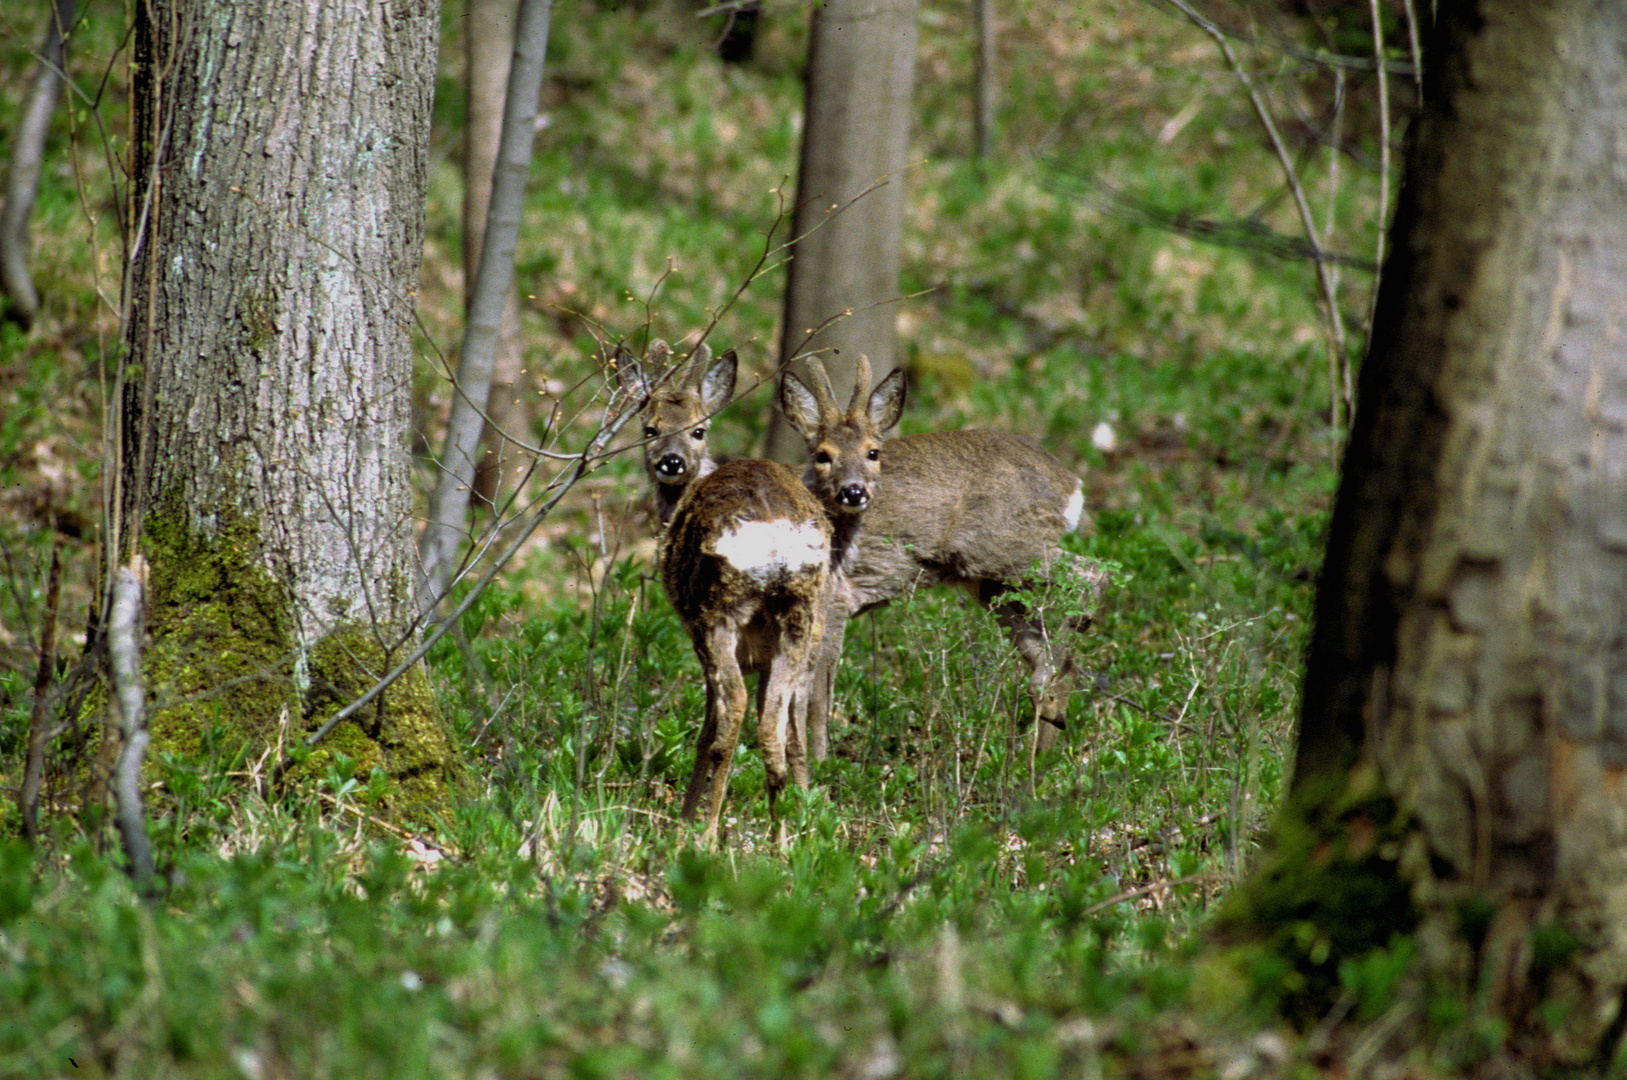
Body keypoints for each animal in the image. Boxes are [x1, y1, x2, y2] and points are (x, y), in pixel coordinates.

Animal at [774, 357, 1106, 764]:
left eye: (873, 452)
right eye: (822, 454)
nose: (853, 492)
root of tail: (1071, 484)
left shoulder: (836, 600)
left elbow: (817, 696)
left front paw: (821, 769)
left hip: (1004, 546)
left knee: (1092, 572)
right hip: (990, 581)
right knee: (1049, 651)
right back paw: (1041, 748)